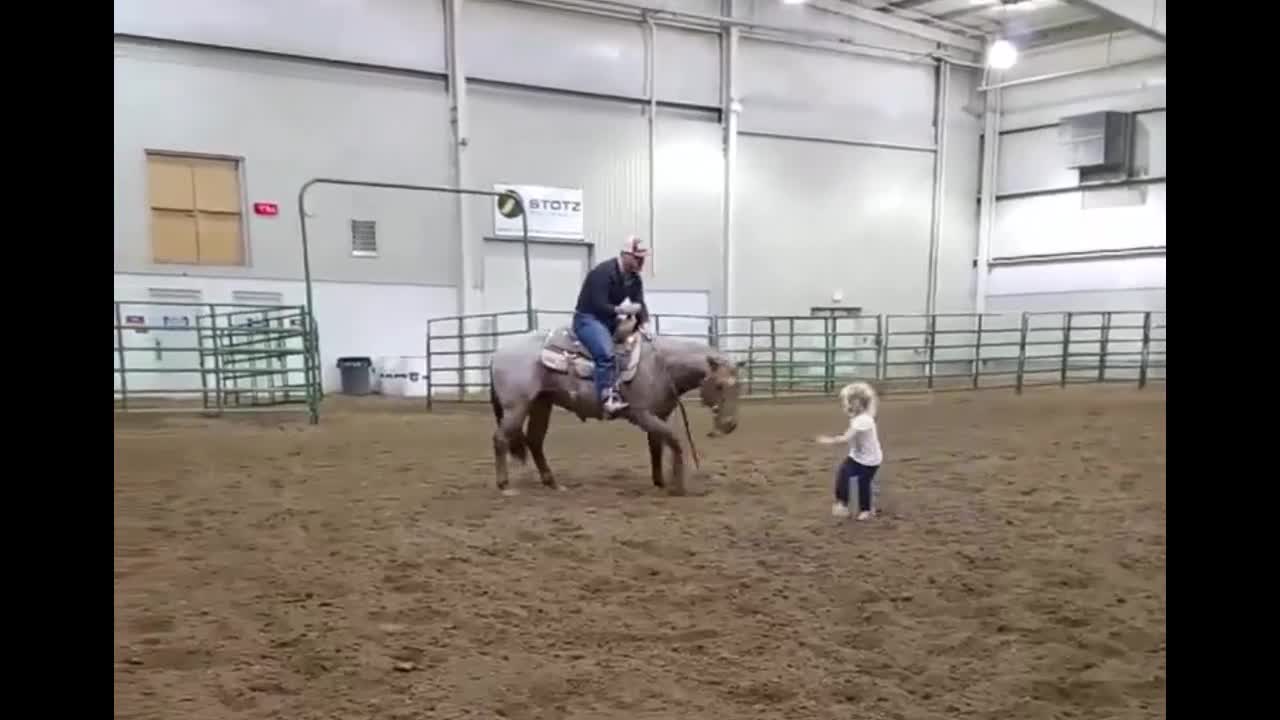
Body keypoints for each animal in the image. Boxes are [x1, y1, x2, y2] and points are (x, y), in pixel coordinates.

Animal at [486, 317, 747, 491]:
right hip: (517, 406)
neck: (661, 365)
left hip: (542, 403)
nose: (730, 425)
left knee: (535, 440)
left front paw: (661, 482)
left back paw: (552, 483)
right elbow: (674, 440)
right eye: (720, 385)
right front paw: (677, 484)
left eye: (739, 387)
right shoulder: (643, 415)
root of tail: (498, 352)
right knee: (500, 438)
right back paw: (504, 484)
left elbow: (658, 447)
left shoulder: (658, 415)